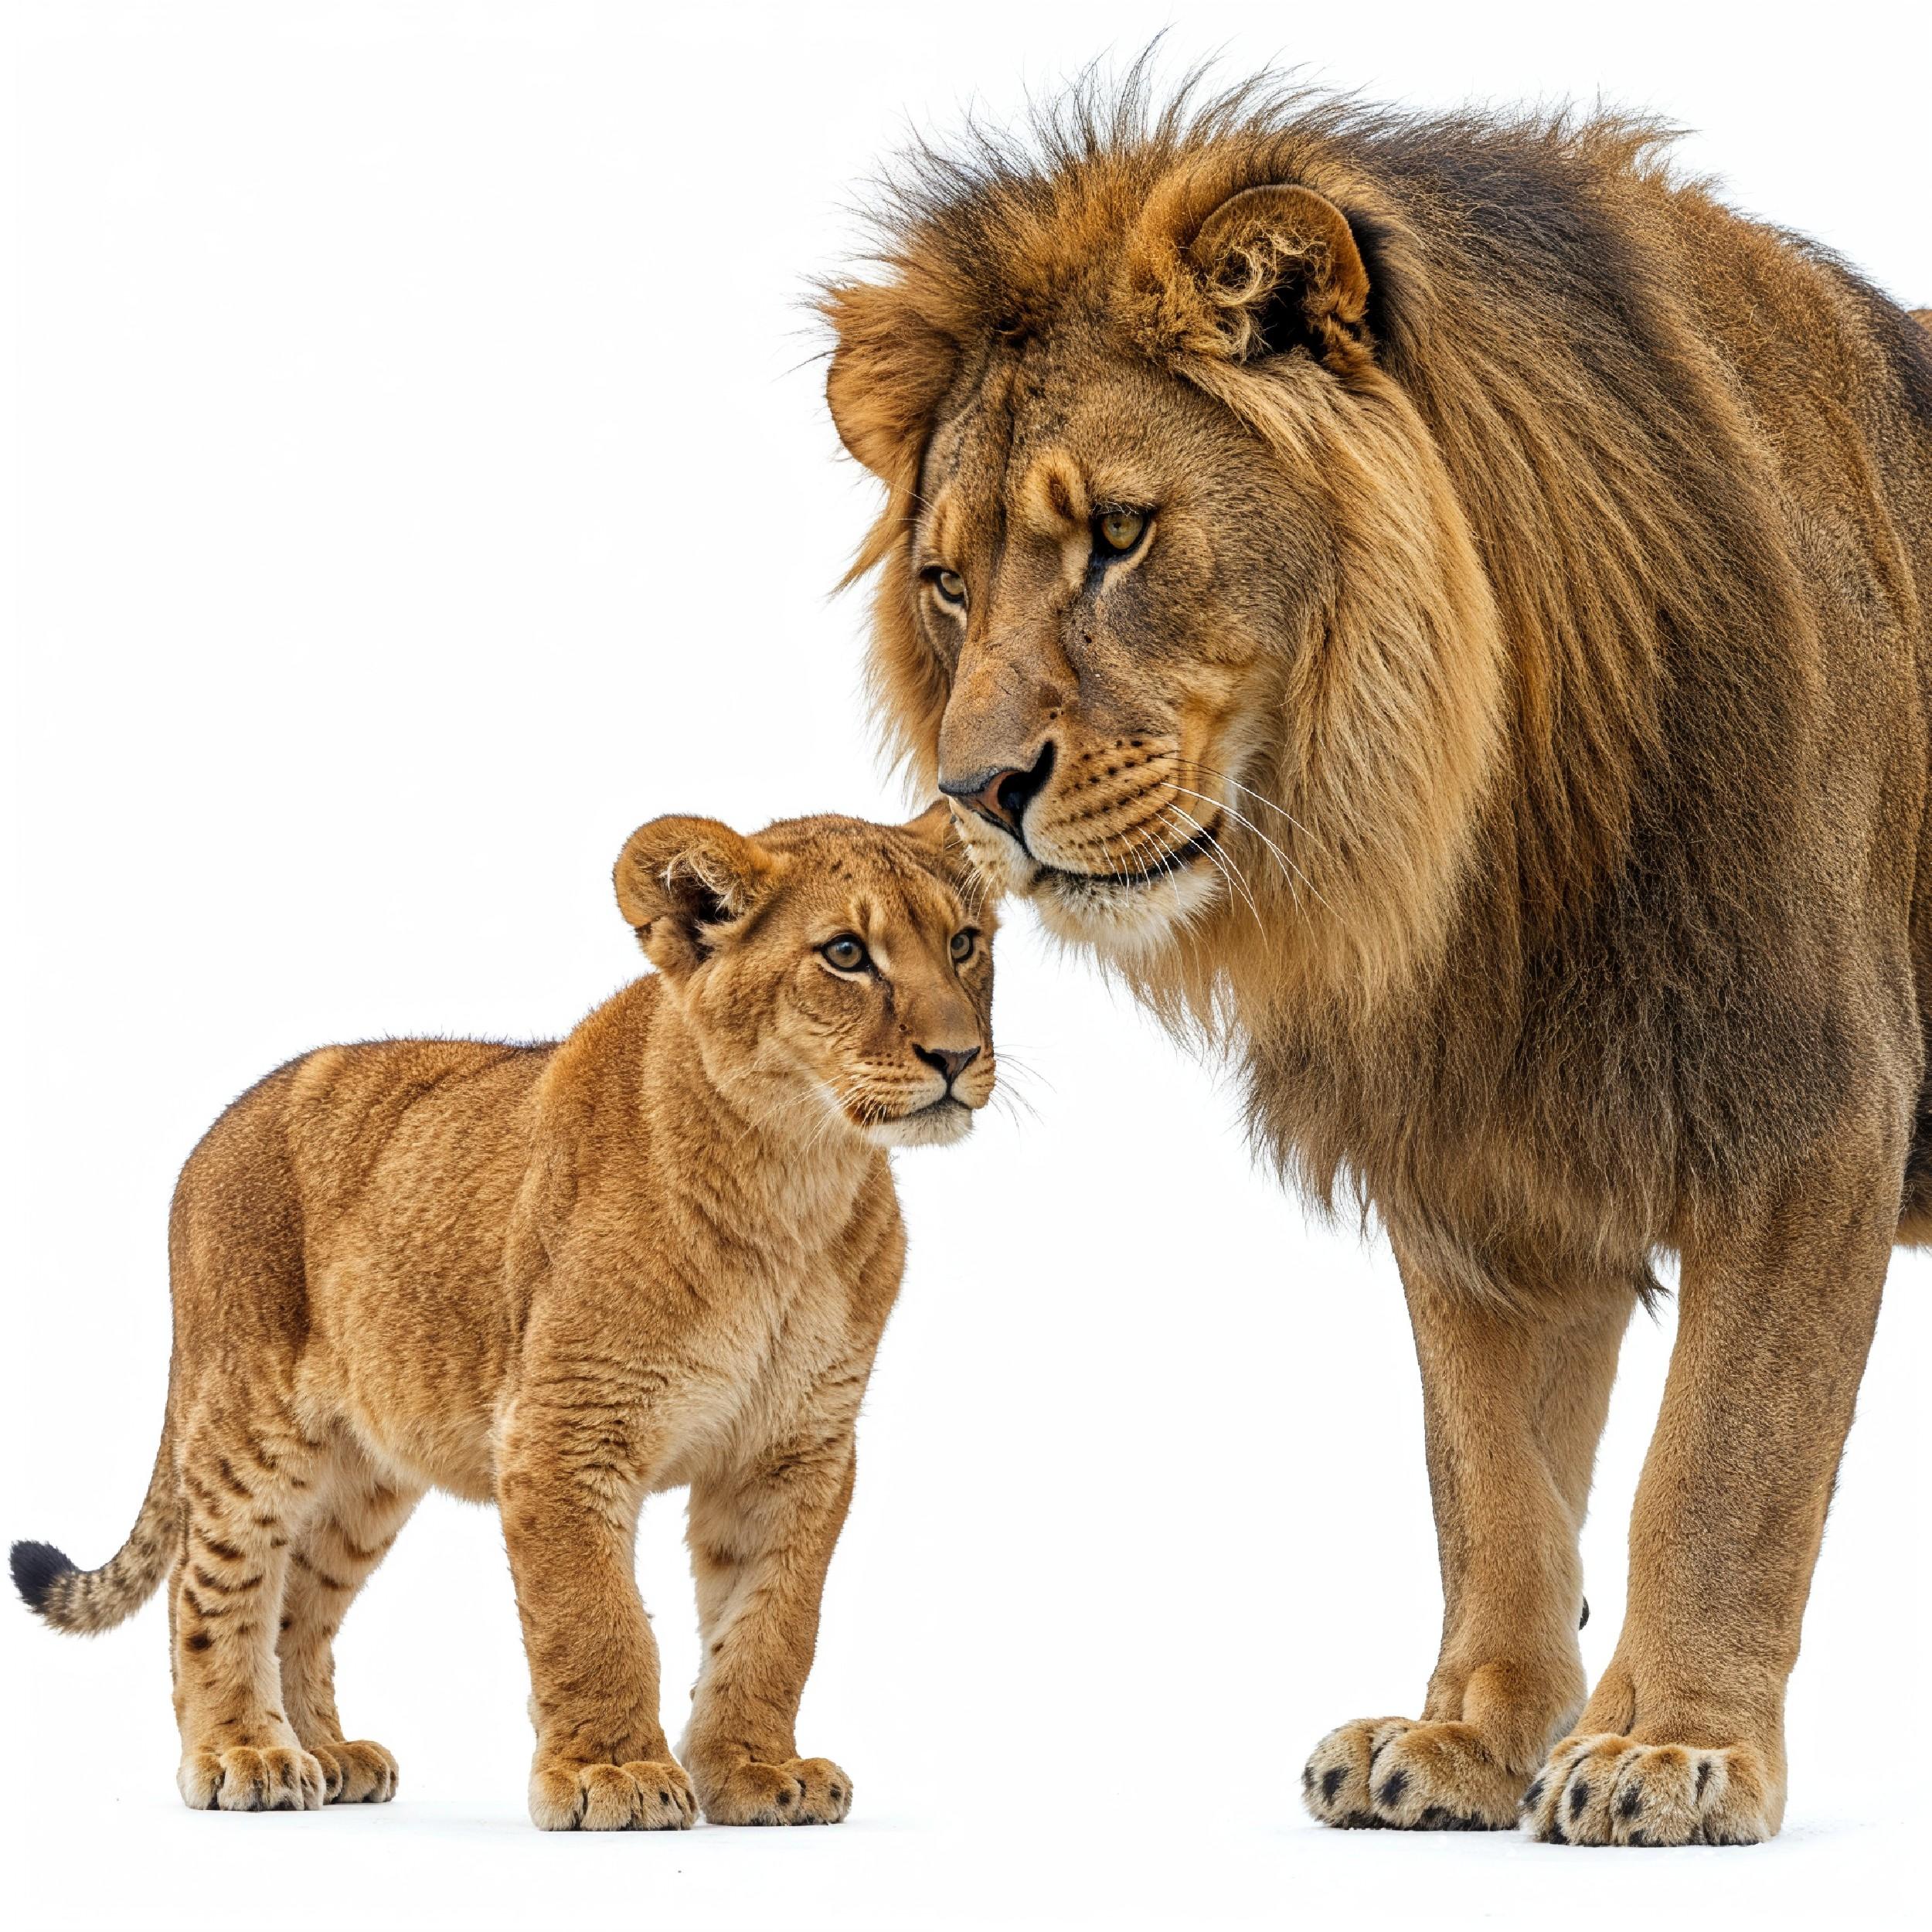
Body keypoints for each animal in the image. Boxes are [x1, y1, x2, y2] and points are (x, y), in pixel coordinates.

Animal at [10, 807, 997, 1828]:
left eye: (965, 943)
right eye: (845, 953)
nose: (958, 1057)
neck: (792, 1183)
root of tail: (217, 1127)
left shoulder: (799, 1447)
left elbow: (773, 1623)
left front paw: (755, 1770)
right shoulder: (563, 1429)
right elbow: (594, 1616)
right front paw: (614, 1774)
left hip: (369, 1469)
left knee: (299, 1603)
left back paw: (327, 1753)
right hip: (249, 1419)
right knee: (211, 1587)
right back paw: (246, 1752)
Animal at [825, 74, 1931, 1846]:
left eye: (1120, 534)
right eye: (944, 582)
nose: (975, 793)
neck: (1472, 841)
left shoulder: (1806, 1113)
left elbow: (1718, 1469)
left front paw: (1671, 1750)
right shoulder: (1473, 1152)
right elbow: (1490, 1482)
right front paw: (1471, 1736)